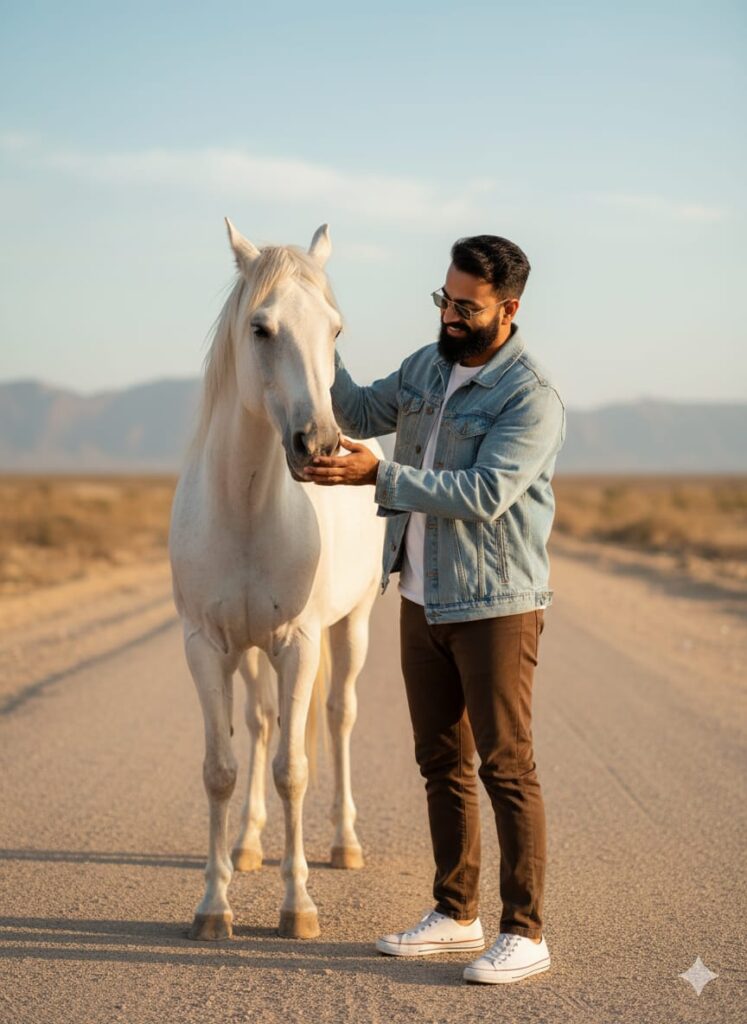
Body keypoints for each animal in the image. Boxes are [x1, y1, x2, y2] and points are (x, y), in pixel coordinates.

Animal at [169, 220, 384, 940]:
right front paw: (214, 905)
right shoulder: (206, 646)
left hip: (351, 627)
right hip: (250, 651)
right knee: (261, 723)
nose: (317, 444)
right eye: (260, 328)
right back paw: (247, 845)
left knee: (339, 717)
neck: (246, 510)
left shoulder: (299, 641)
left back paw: (344, 844)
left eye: (335, 330)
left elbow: (294, 769)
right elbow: (220, 769)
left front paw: (299, 906)